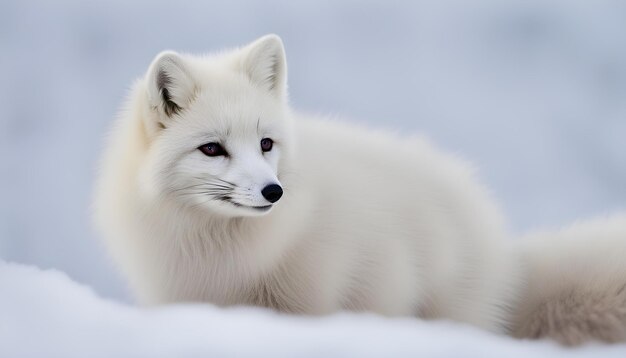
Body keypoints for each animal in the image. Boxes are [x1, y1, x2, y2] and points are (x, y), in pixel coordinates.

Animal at [94, 34, 624, 344]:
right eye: (212, 149)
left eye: (266, 143)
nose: (273, 192)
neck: (218, 247)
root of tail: (503, 248)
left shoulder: (322, 298)